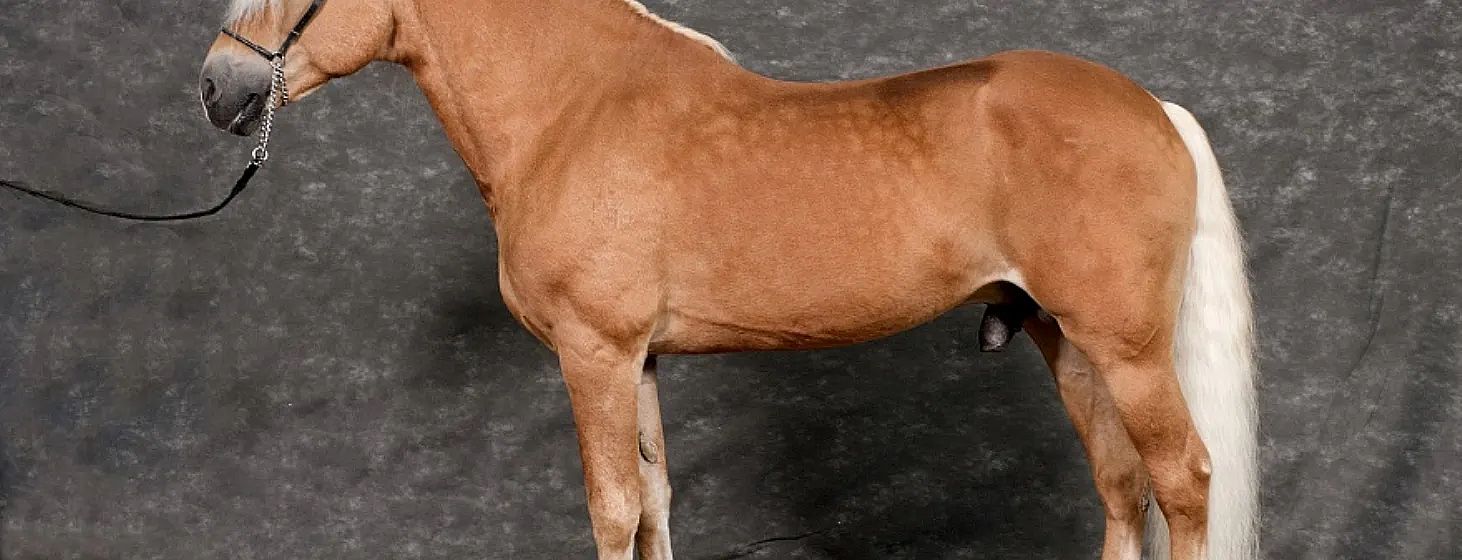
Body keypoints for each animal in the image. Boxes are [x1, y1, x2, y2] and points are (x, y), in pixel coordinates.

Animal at [199, 1, 1259, 558]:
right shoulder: (637, 361)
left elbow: (613, 506)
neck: (571, 108)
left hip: (1128, 352)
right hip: (1065, 340)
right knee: (1121, 483)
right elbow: (655, 499)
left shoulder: (593, 354)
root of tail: (1153, 109)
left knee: (1181, 478)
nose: (215, 86)